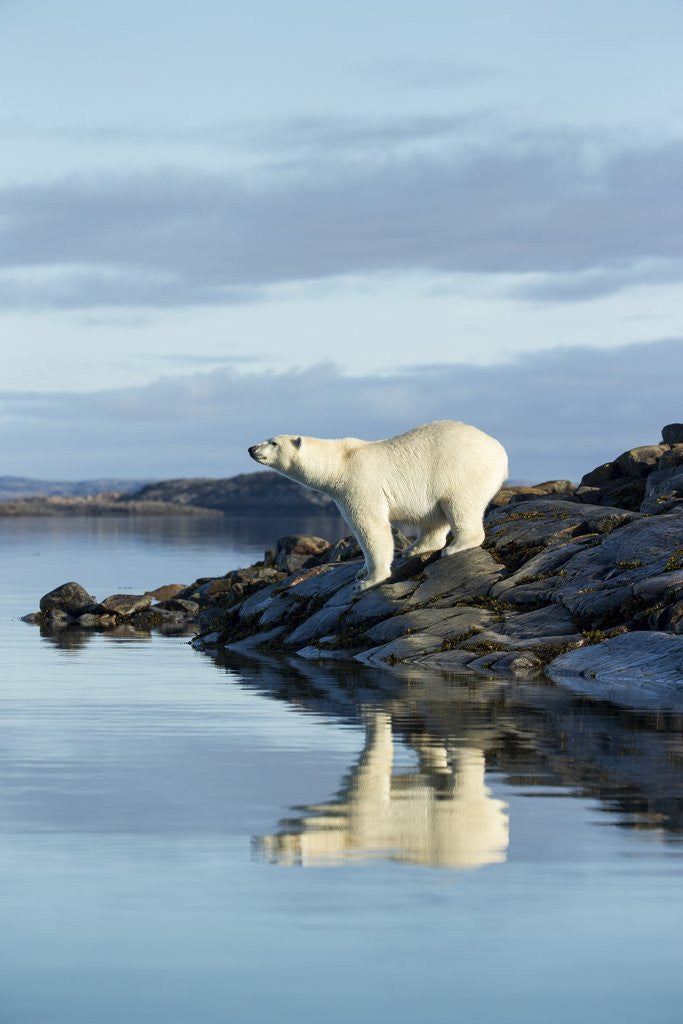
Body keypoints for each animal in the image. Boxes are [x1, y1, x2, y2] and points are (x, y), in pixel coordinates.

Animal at [248, 419, 508, 593]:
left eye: (273, 442)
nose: (252, 448)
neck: (339, 463)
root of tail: (500, 451)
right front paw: (361, 571)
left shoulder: (360, 483)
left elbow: (371, 527)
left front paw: (369, 580)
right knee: (433, 517)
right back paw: (414, 548)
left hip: (461, 470)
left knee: (459, 503)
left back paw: (456, 546)